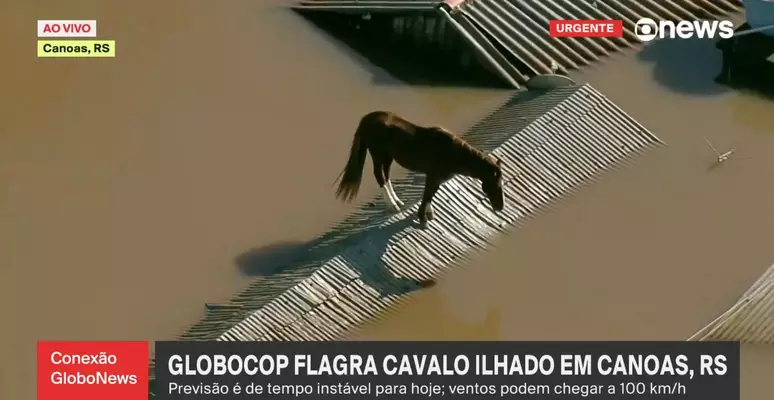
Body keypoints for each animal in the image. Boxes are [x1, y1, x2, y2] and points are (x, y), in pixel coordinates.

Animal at [334, 111, 505, 227]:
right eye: (496, 184)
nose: (500, 207)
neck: (453, 154)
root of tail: (368, 118)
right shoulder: (433, 175)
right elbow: (427, 195)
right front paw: (423, 219)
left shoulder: (437, 178)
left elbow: (430, 195)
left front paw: (428, 214)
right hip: (378, 154)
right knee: (379, 175)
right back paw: (392, 205)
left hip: (388, 156)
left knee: (386, 174)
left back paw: (397, 201)